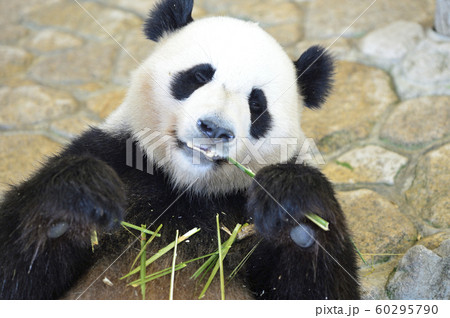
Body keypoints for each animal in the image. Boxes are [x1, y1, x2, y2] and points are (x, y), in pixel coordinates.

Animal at [0, 0, 358, 300]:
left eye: (257, 105)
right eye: (199, 75)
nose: (214, 128)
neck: (186, 189)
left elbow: (318, 289)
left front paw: (293, 206)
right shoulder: (114, 155)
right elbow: (17, 274)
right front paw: (78, 195)